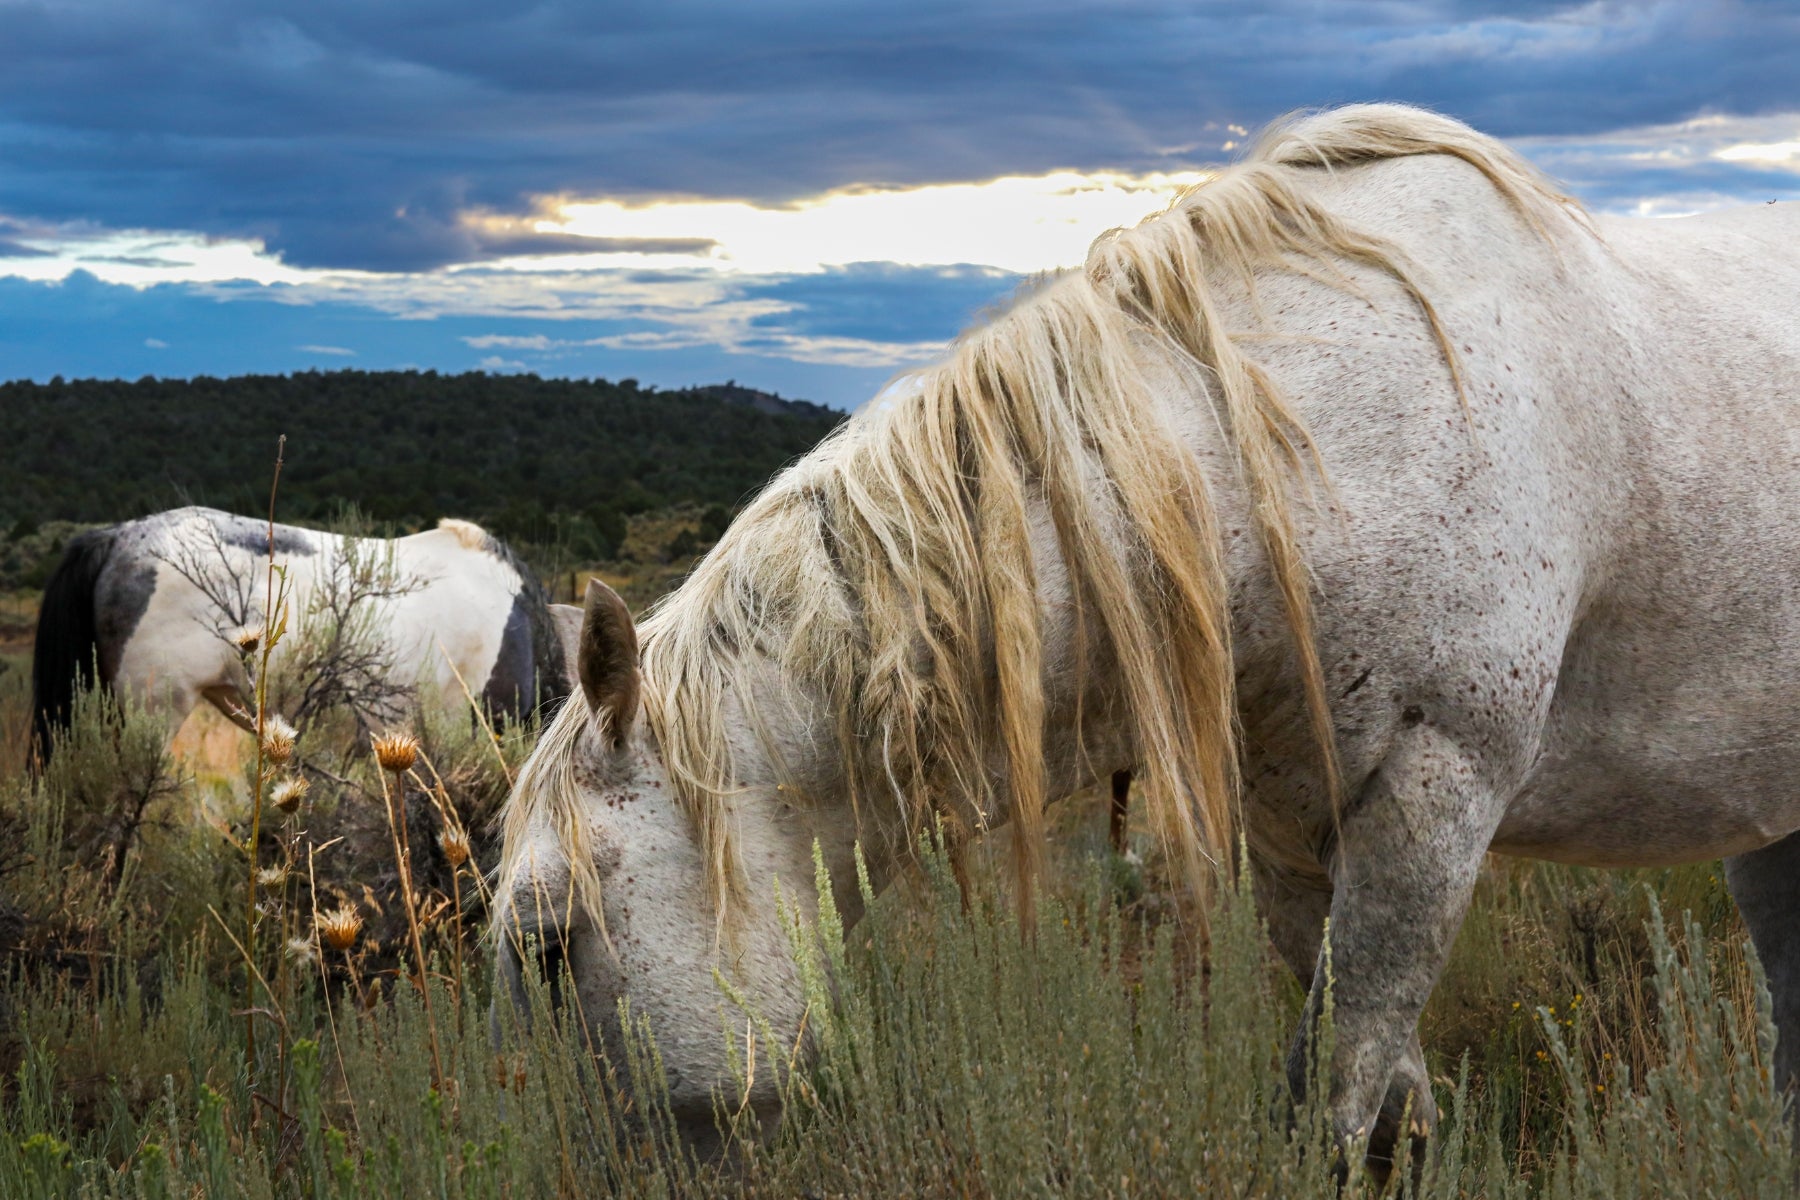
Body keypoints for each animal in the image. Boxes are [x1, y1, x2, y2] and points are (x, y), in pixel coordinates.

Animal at [489, 103, 1800, 1173]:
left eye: (549, 947)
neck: (1294, 457)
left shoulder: (1437, 795)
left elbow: (1339, 1111)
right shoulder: (1294, 823)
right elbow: (1387, 1114)